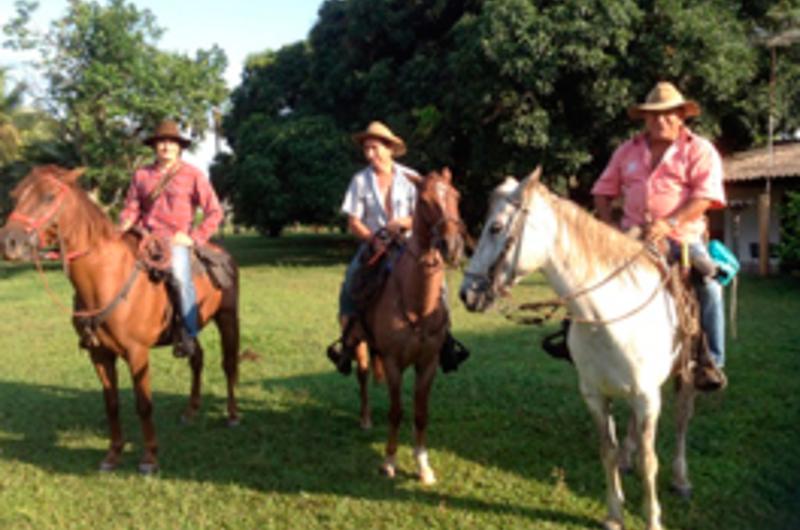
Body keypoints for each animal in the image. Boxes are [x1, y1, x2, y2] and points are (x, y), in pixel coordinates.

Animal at [0, 164, 241, 470]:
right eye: (15, 195)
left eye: (49, 196)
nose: (9, 242)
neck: (105, 279)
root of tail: (223, 254)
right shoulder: (100, 354)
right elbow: (111, 404)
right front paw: (113, 454)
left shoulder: (137, 353)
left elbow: (144, 404)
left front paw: (149, 457)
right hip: (189, 328)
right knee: (196, 358)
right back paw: (190, 411)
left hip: (228, 319)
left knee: (229, 364)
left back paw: (232, 415)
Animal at [348, 168, 462, 482]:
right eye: (424, 200)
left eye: (456, 195)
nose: (451, 245)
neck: (417, 305)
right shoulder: (392, 362)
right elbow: (396, 411)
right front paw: (389, 461)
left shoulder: (428, 363)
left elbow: (421, 413)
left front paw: (423, 465)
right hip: (360, 343)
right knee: (362, 376)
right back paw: (364, 419)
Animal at [460, 168, 696, 528]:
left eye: (496, 227)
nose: (466, 293)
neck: (607, 317)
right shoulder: (595, 395)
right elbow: (607, 451)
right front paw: (614, 513)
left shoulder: (647, 397)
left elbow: (650, 460)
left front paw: (653, 518)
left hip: (684, 371)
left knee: (683, 418)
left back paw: (681, 479)